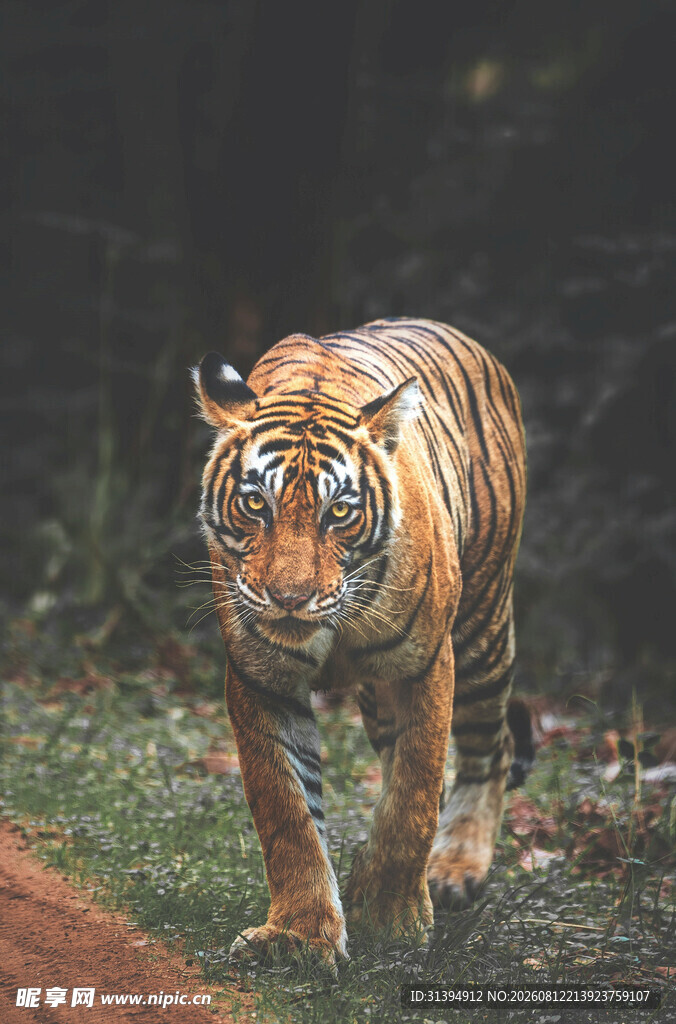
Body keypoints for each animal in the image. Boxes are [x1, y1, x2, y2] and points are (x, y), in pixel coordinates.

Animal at [193, 316, 531, 963]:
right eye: (255, 503)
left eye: (340, 512)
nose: (289, 598)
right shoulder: (261, 678)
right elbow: (287, 811)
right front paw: (299, 935)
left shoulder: (424, 666)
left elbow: (413, 797)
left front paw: (395, 920)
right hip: (380, 697)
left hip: (481, 630)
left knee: (489, 748)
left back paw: (454, 868)